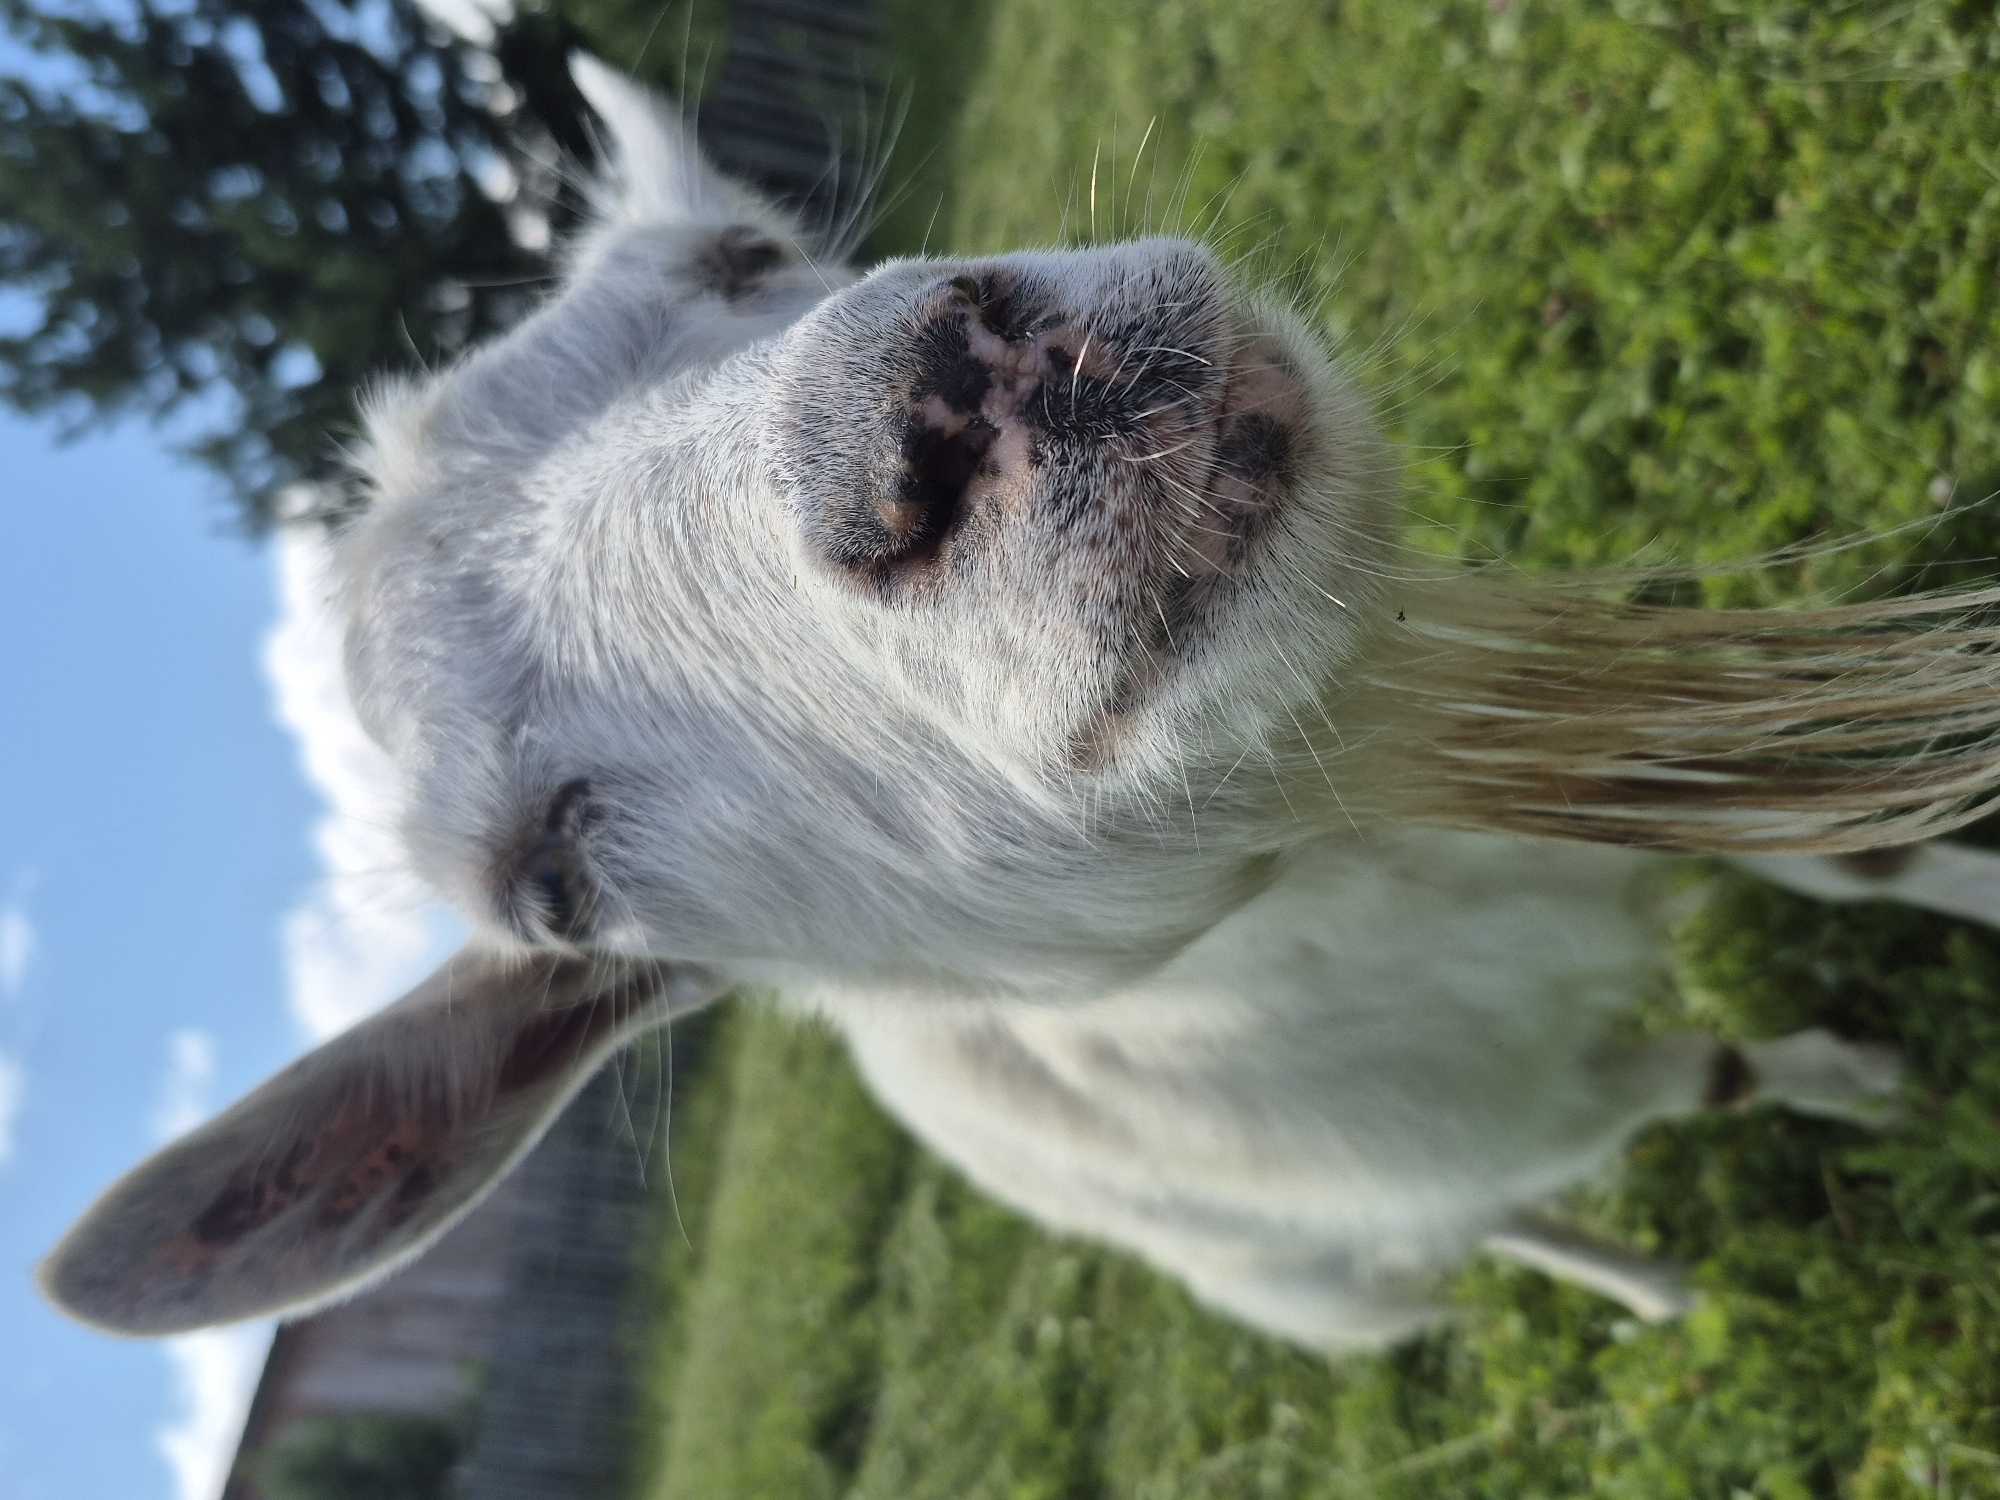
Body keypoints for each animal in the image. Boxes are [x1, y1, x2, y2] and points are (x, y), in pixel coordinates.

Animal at [40, 60, 2000, 1348]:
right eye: (556, 884)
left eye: (743, 262)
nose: (920, 407)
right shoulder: (1525, 1093)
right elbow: (1708, 1074)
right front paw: (1832, 1127)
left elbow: (1873, 861)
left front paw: (1895, 1027)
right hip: (1313, 1266)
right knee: (1483, 1244)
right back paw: (1652, 1289)